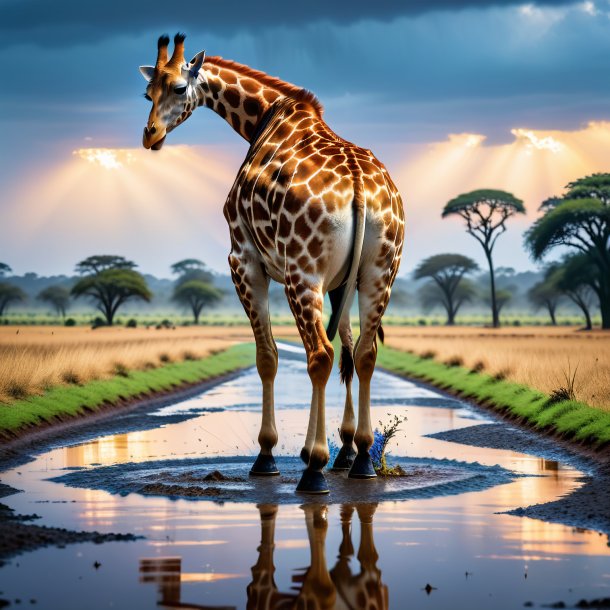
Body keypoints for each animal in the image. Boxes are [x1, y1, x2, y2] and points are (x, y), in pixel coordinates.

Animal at [140, 33, 402, 492]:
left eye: (178, 88)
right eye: (146, 92)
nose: (149, 134)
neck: (265, 117)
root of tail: (359, 187)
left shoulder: (242, 259)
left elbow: (268, 357)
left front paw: (267, 455)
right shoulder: (338, 280)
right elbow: (345, 350)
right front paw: (338, 449)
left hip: (303, 273)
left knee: (320, 355)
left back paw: (314, 468)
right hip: (378, 273)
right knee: (362, 354)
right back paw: (361, 461)